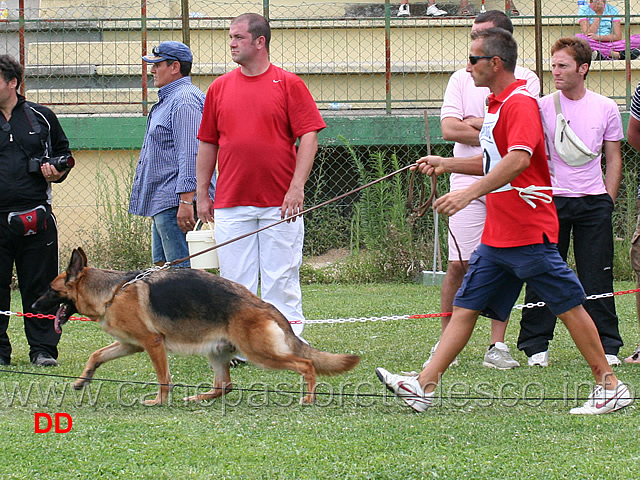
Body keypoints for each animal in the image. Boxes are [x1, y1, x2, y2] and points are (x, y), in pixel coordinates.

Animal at [33, 248, 360, 404]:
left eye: (50, 290)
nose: (33, 307)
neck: (113, 291)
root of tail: (263, 304)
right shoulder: (130, 344)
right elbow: (96, 355)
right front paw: (82, 380)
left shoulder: (152, 344)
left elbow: (163, 378)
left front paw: (159, 402)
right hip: (216, 352)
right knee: (224, 386)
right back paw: (197, 397)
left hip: (260, 353)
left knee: (306, 364)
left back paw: (309, 396)